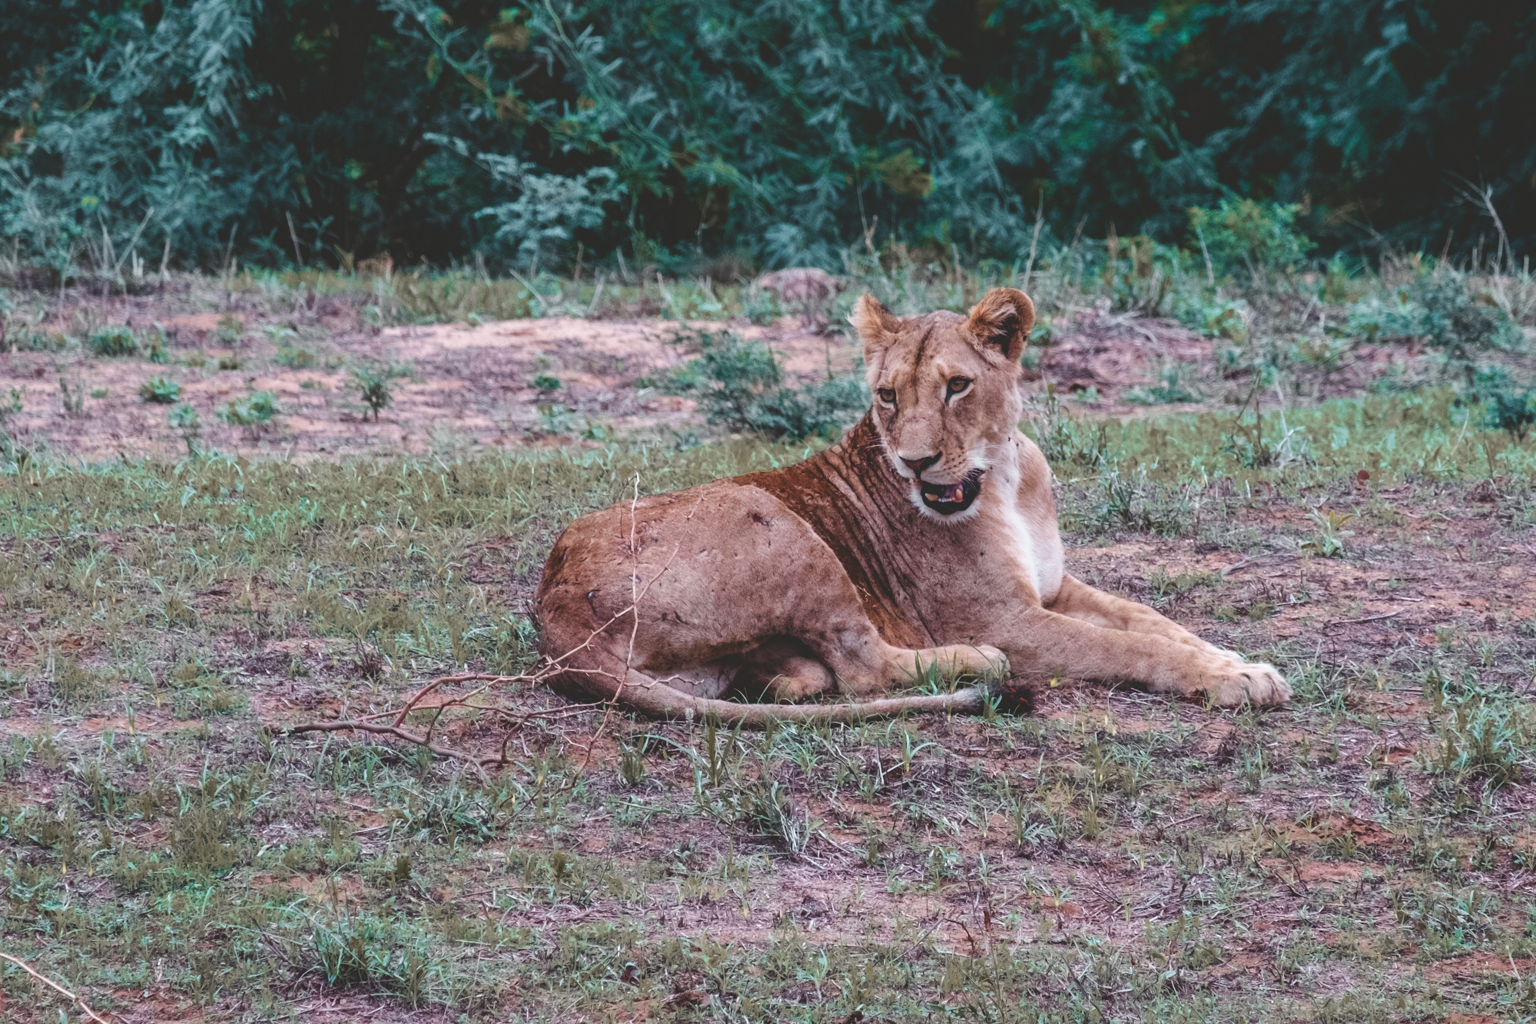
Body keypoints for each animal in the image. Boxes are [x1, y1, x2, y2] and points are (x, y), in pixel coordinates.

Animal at [535, 287, 1290, 724]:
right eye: (888, 395)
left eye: (957, 386)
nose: (916, 462)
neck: (1003, 478)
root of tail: (553, 610)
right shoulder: (1008, 617)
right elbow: (1129, 645)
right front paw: (1231, 679)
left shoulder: (1053, 588)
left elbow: (1151, 619)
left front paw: (1233, 659)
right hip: (776, 522)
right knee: (864, 665)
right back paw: (976, 662)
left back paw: (784, 675)